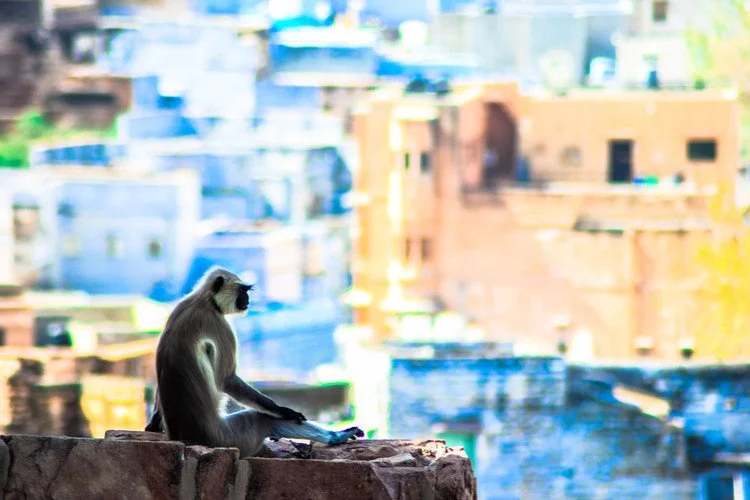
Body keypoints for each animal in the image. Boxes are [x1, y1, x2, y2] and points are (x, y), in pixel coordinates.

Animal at [145, 266, 364, 457]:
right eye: (243, 290)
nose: (247, 300)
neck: (204, 299)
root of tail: (185, 436)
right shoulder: (219, 324)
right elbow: (227, 380)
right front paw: (282, 410)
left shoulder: (176, 308)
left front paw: (154, 422)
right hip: (228, 437)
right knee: (261, 419)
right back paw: (336, 436)